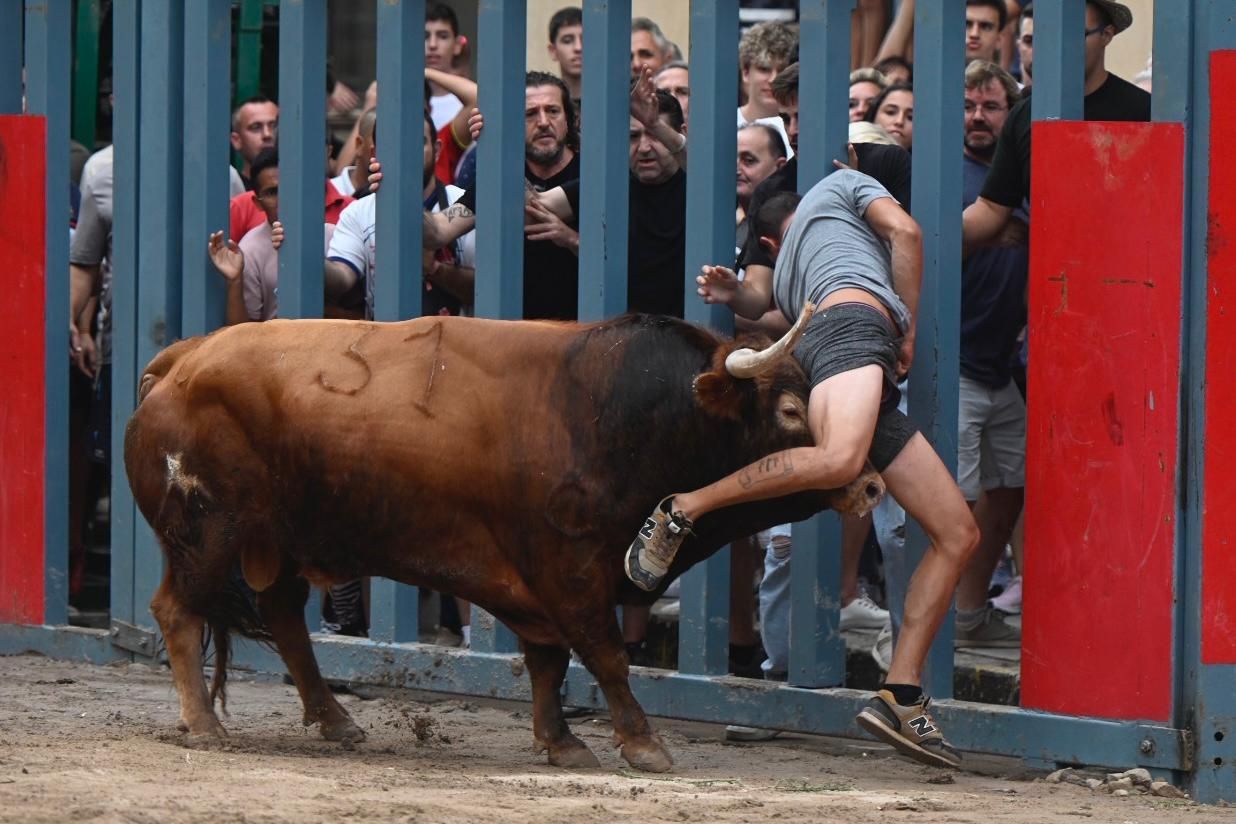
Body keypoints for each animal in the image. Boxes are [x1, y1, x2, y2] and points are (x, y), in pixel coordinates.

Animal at [122, 308, 880, 775]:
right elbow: (605, 656)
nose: (869, 483)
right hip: (208, 535)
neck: (621, 411)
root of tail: (182, 359)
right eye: (791, 410)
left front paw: (562, 741)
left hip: (275, 540)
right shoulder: (569, 571)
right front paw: (642, 742)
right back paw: (205, 723)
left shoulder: (541, 584)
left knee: (282, 618)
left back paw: (335, 719)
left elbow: (549, 661)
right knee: (176, 612)